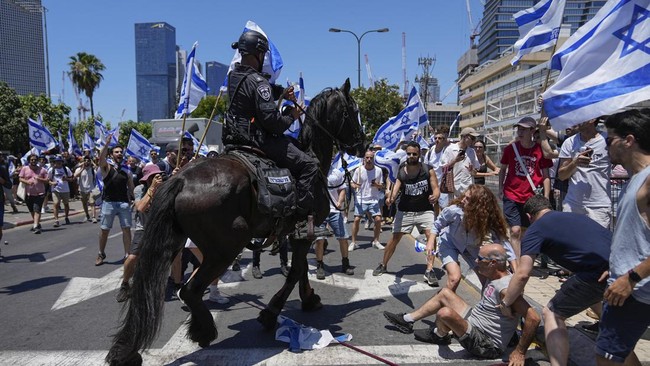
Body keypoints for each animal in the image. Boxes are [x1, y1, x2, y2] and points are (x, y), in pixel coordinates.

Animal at [109, 78, 368, 364]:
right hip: (226, 248)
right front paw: (271, 313)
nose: (363, 145)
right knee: (189, 290)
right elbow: (296, 271)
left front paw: (309, 299)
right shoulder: (303, 231)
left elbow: (300, 270)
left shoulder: (296, 232)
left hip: (173, 243)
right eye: (351, 112)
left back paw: (128, 350)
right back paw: (204, 331)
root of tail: (180, 179)